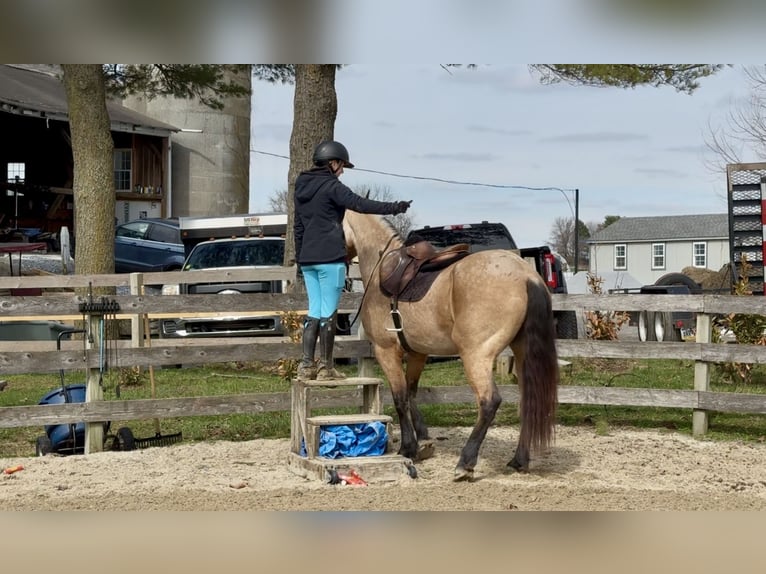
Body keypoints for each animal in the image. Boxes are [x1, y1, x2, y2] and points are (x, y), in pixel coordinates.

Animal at [343, 211, 559, 481]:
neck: (383, 265)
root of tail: (527, 276)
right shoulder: (418, 353)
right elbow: (412, 393)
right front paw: (423, 441)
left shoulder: (387, 351)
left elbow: (400, 398)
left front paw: (408, 448)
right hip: (521, 353)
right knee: (528, 401)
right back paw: (518, 460)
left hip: (475, 356)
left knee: (489, 402)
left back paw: (465, 463)